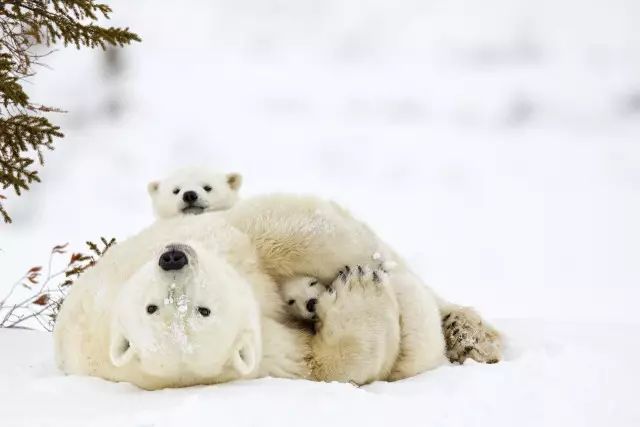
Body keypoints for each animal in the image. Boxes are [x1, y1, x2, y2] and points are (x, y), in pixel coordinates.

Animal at [55, 196, 502, 390]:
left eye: (200, 309)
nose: (173, 258)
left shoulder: (218, 239)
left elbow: (275, 228)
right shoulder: (265, 357)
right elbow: (329, 364)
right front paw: (358, 286)